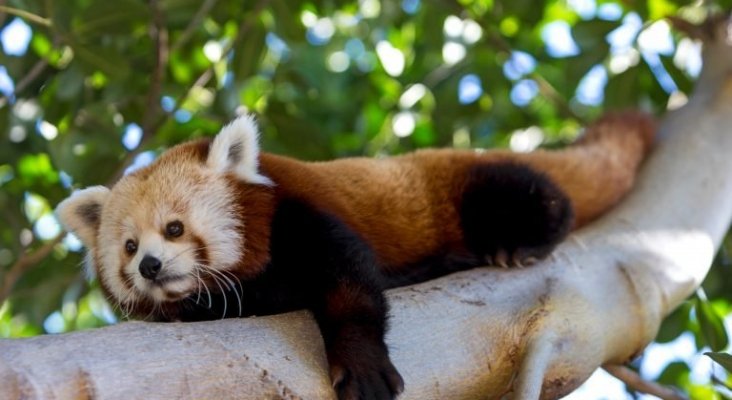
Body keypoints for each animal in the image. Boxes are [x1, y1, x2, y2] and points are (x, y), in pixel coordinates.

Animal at [54, 111, 656, 400]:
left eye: (174, 229)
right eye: (130, 246)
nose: (150, 267)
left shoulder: (300, 215)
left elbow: (351, 287)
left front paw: (361, 365)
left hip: (468, 184)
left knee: (537, 196)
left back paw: (513, 242)